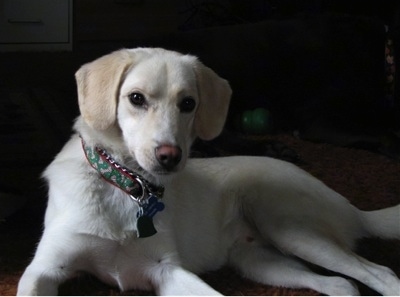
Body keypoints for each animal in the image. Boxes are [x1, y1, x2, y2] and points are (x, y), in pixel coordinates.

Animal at [18, 47, 400, 294]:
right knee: (342, 284)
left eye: (188, 104)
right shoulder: (44, 268)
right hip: (262, 262)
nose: (170, 156)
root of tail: (350, 206)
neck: (126, 184)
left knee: (381, 274)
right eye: (136, 98)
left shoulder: (166, 269)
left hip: (290, 228)